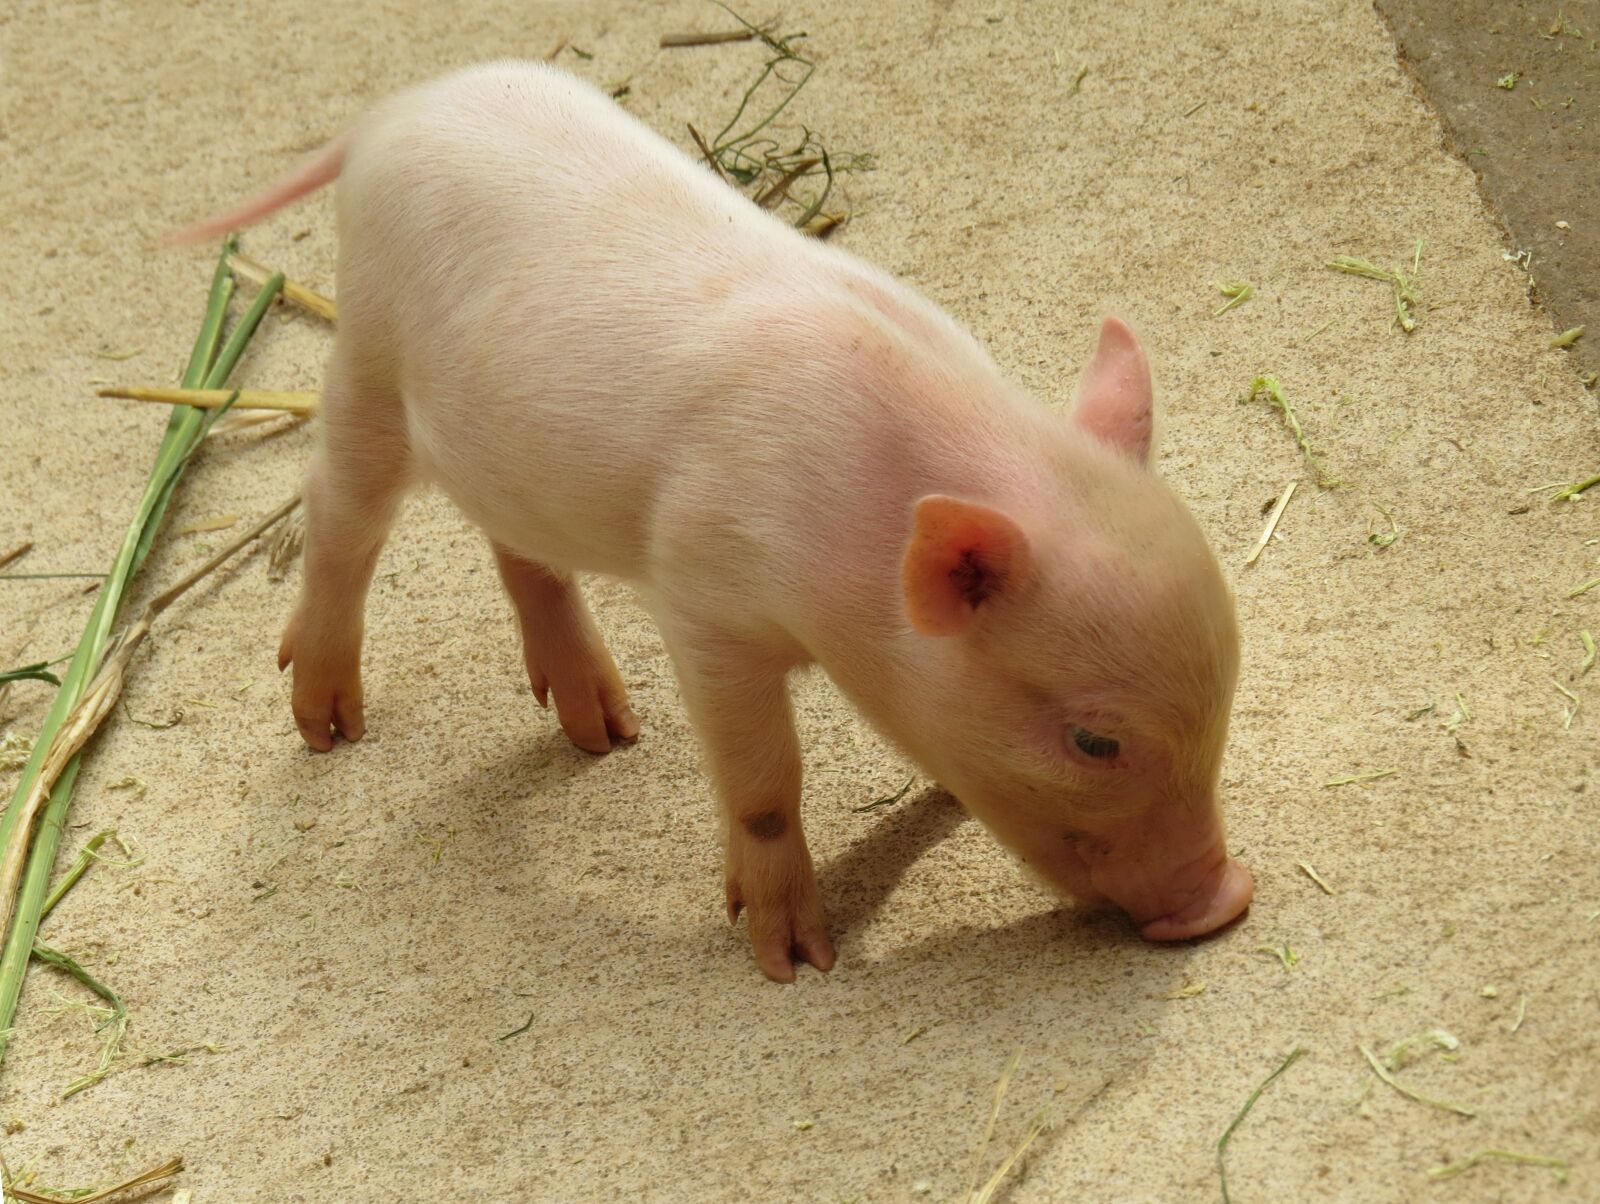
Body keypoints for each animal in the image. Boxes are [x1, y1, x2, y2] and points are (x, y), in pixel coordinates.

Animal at [171, 60, 1252, 981]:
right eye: (1094, 741)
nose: (1226, 901)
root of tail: (390, 112)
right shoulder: (702, 599)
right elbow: (767, 780)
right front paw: (794, 961)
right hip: (366, 355)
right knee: (339, 518)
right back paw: (329, 728)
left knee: (520, 550)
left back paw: (604, 735)